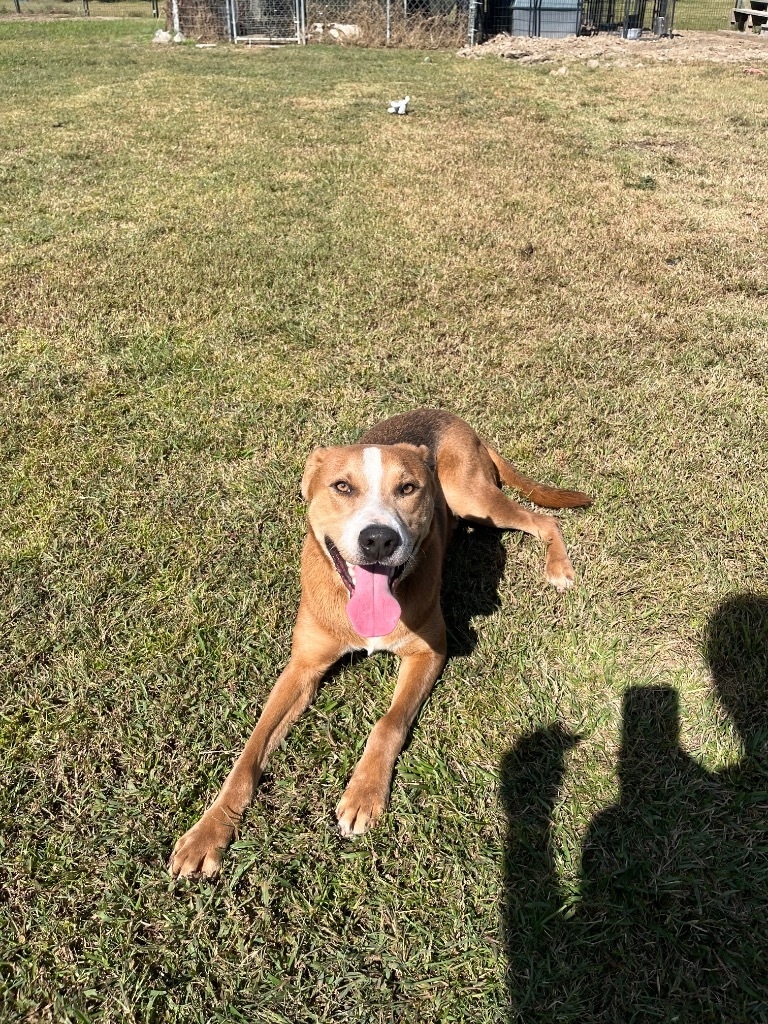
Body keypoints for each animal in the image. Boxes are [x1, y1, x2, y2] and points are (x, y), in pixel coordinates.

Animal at [169, 407, 589, 880]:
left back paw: (558, 567)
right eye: (341, 487)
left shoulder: (429, 652)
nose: (379, 539)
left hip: (472, 498)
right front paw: (208, 831)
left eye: (407, 488)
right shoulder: (302, 668)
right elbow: (249, 752)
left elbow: (388, 724)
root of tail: (452, 417)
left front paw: (364, 793)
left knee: (543, 520)